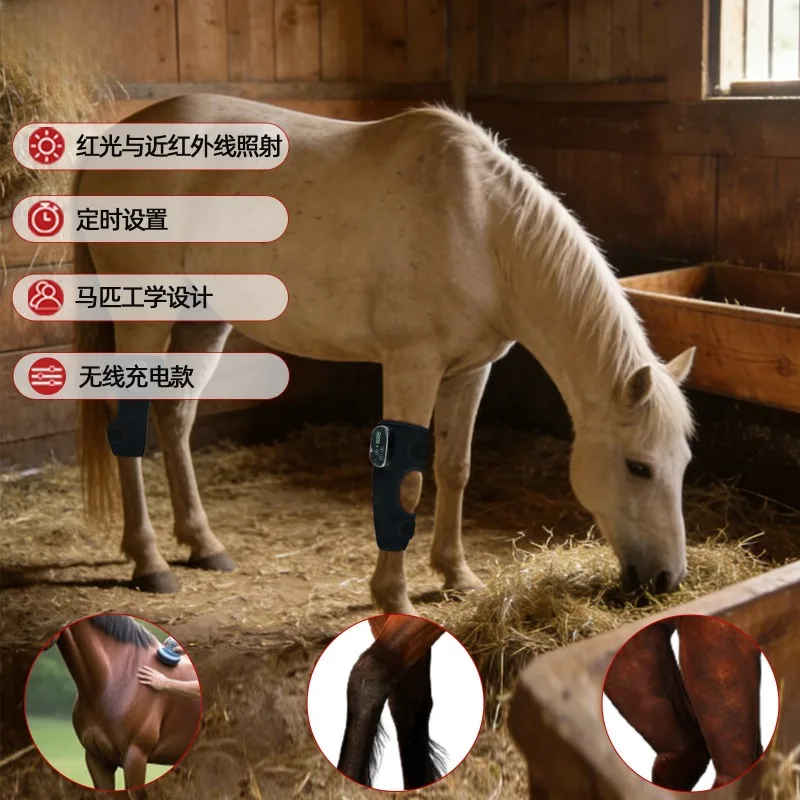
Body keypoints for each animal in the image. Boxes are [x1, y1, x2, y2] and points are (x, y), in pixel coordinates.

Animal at [75, 94, 697, 614]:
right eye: (638, 466)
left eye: (684, 463)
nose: (667, 579)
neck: (482, 228)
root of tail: (114, 138)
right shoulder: (412, 365)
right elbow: (405, 480)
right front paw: (393, 597)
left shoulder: (472, 370)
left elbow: (455, 468)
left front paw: (456, 575)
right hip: (143, 317)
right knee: (128, 426)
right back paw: (149, 562)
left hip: (203, 317)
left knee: (175, 418)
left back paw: (204, 544)